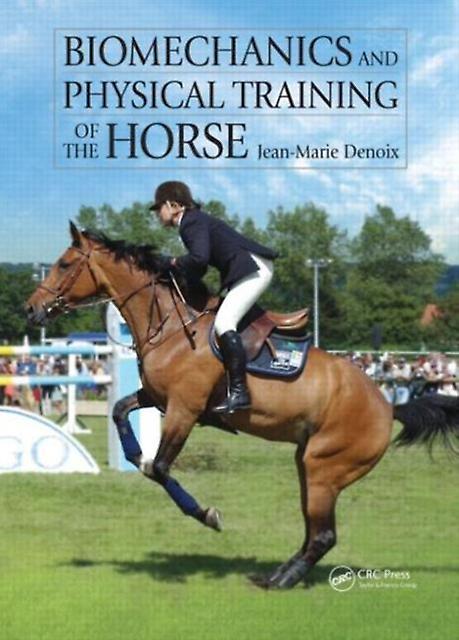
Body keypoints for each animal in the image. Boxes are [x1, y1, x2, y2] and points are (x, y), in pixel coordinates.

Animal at [26, 222, 459, 589]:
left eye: (64, 264)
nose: (31, 309)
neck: (171, 326)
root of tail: (388, 406)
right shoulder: (158, 398)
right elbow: (119, 412)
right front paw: (133, 454)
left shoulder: (184, 409)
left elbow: (159, 469)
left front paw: (208, 516)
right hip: (308, 463)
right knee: (314, 531)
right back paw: (277, 574)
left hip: (325, 467)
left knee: (323, 534)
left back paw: (280, 582)